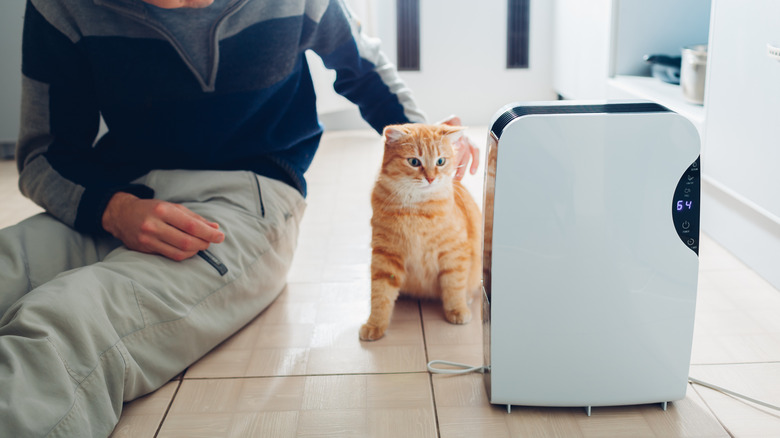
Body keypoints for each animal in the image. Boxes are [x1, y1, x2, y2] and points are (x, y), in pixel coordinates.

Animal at [360, 123, 482, 342]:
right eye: (414, 162)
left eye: (440, 161)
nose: (431, 178)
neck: (416, 210)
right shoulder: (385, 256)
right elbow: (380, 294)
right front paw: (375, 324)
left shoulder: (454, 253)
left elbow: (454, 286)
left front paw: (457, 310)